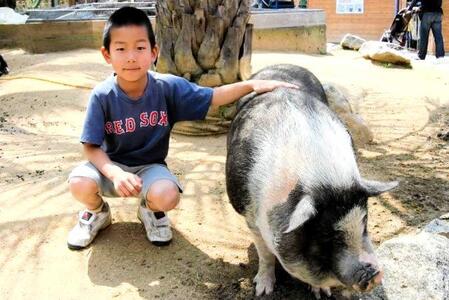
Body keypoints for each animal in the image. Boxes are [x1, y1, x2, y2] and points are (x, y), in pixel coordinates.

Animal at [226, 63, 398, 298]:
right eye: (326, 236)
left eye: (365, 223)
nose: (374, 275)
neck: (324, 177)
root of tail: (282, 64)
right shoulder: (250, 214)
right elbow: (265, 254)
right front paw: (262, 291)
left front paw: (322, 293)